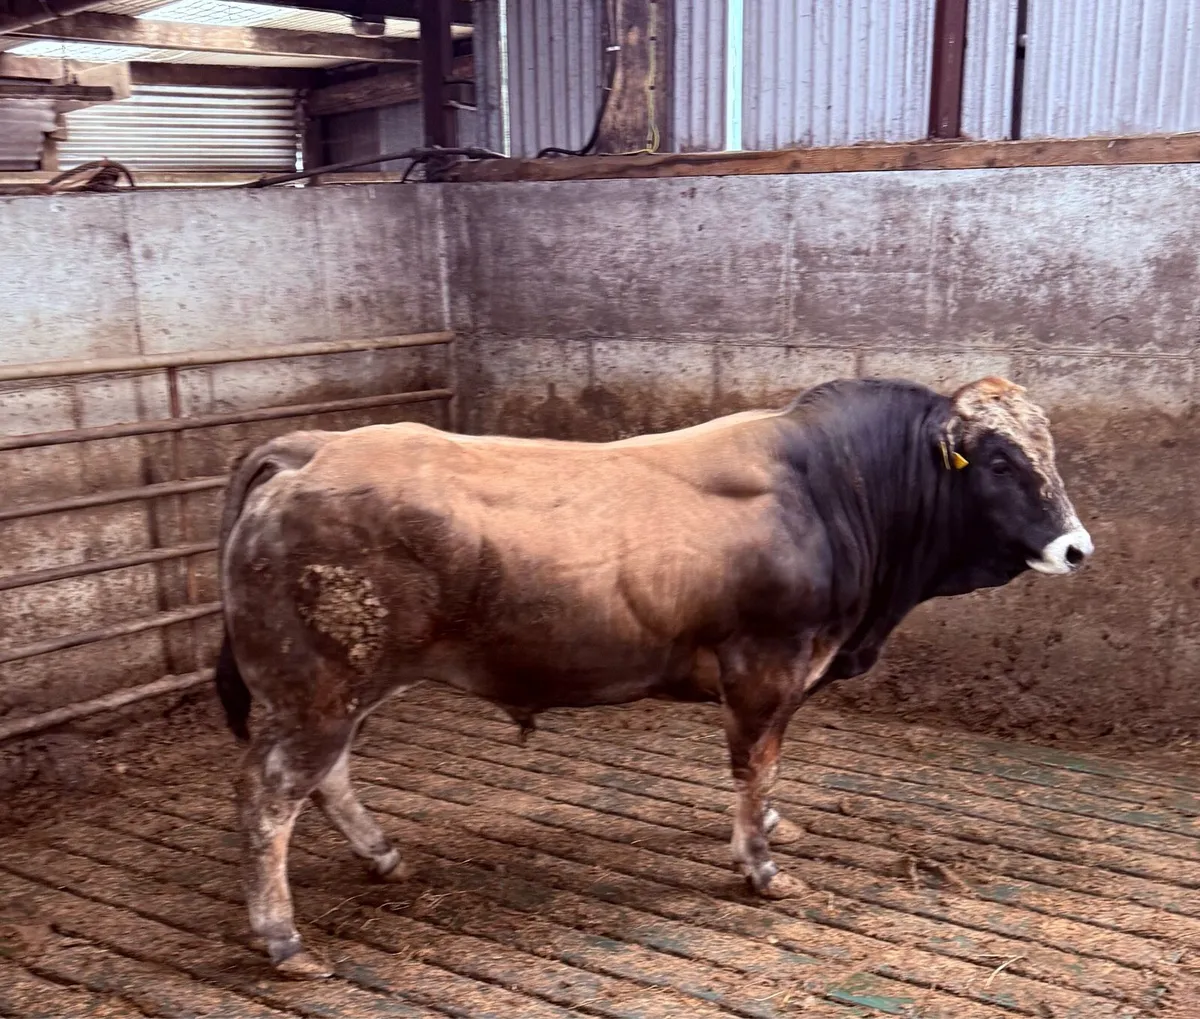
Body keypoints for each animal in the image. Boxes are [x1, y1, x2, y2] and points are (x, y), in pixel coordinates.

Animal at [213, 375, 1092, 977]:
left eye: (1048, 453)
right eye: (999, 461)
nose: (1076, 548)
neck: (830, 487)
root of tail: (309, 447)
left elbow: (767, 769)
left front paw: (773, 828)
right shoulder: (769, 661)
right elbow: (755, 764)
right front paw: (760, 865)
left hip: (340, 687)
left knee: (326, 779)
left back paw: (382, 854)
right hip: (316, 687)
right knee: (269, 797)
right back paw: (283, 938)